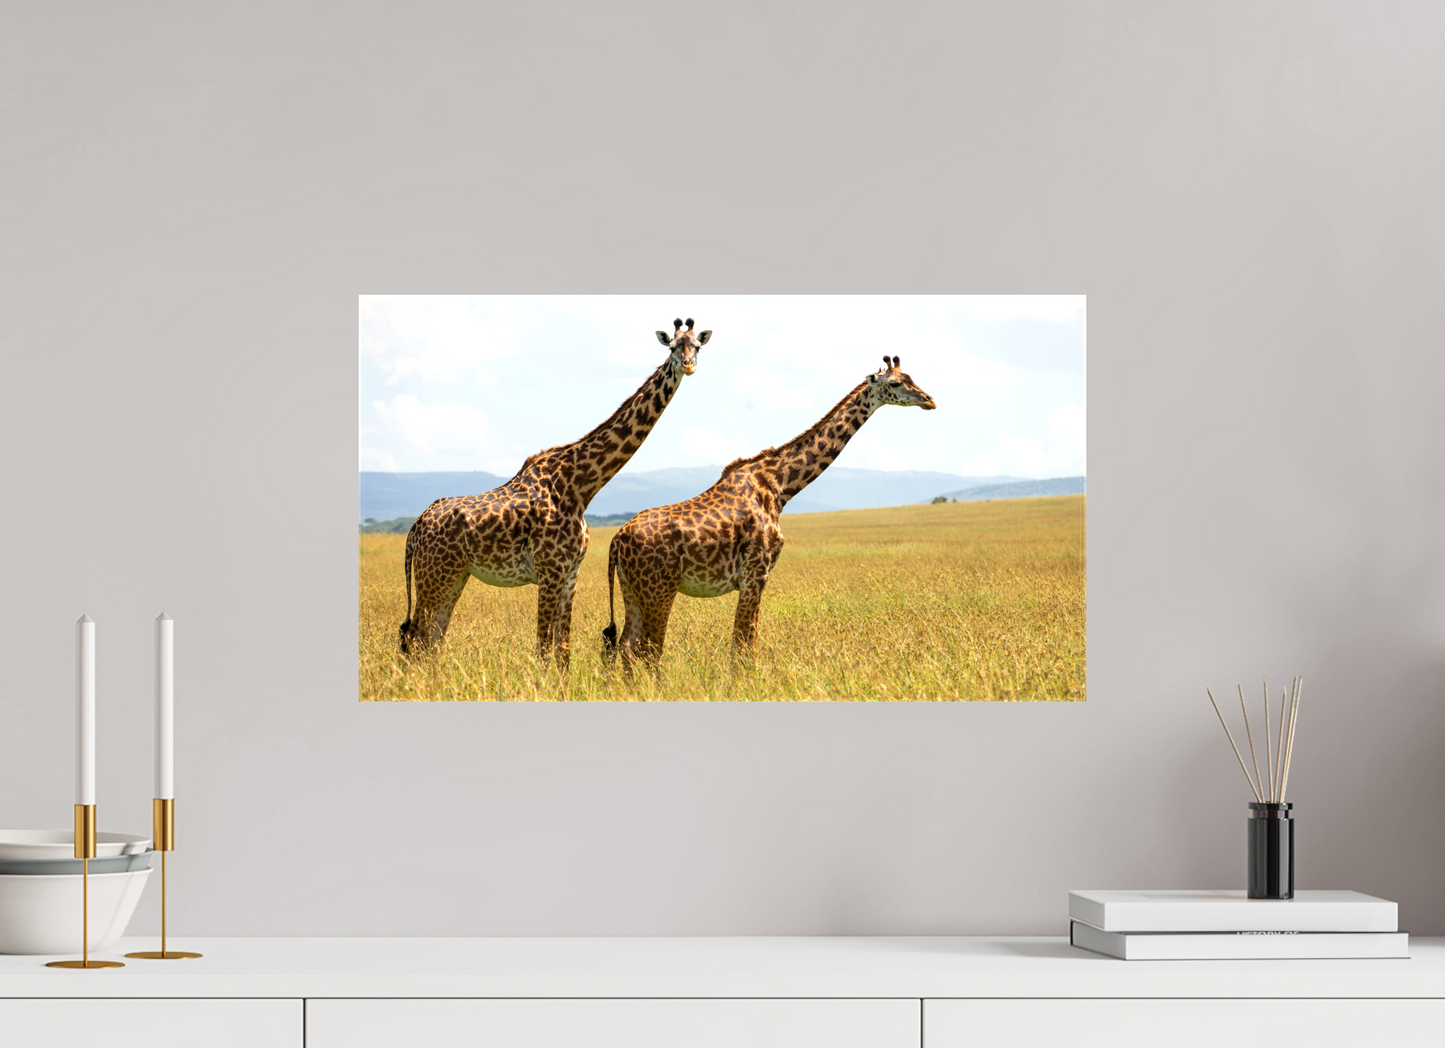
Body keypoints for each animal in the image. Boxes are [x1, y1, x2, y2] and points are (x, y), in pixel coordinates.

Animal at [400, 319, 713, 669]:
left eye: (697, 347)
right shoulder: (549, 570)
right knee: (417, 637)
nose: (688, 365)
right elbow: (543, 648)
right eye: (672, 347)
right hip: (434, 575)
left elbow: (562, 650)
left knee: (432, 637)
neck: (581, 485)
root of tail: (415, 529)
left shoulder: (570, 573)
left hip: (454, 575)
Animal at [602, 355, 936, 666]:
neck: (779, 486)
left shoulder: (758, 577)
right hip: (660, 588)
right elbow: (742, 647)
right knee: (648, 651)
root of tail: (617, 539)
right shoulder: (755, 572)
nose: (929, 400)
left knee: (627, 648)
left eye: (911, 377)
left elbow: (748, 643)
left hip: (631, 588)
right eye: (895, 383)